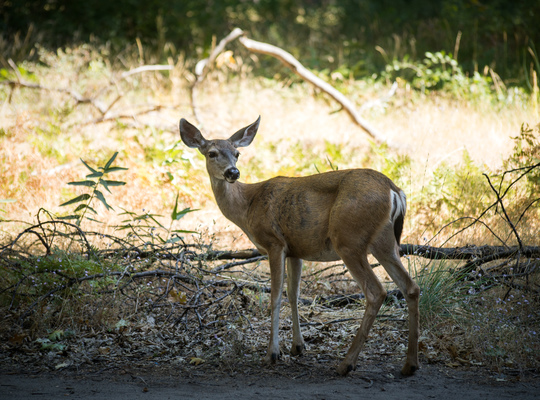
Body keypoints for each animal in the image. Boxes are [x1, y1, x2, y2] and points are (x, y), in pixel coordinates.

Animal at [179, 116, 420, 378]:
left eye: (237, 153)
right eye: (212, 153)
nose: (233, 172)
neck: (248, 206)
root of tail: (394, 191)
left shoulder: (274, 242)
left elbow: (275, 296)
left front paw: (272, 353)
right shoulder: (296, 249)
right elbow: (293, 294)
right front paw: (297, 347)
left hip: (349, 239)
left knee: (376, 291)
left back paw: (346, 364)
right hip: (385, 242)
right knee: (411, 287)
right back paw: (409, 365)